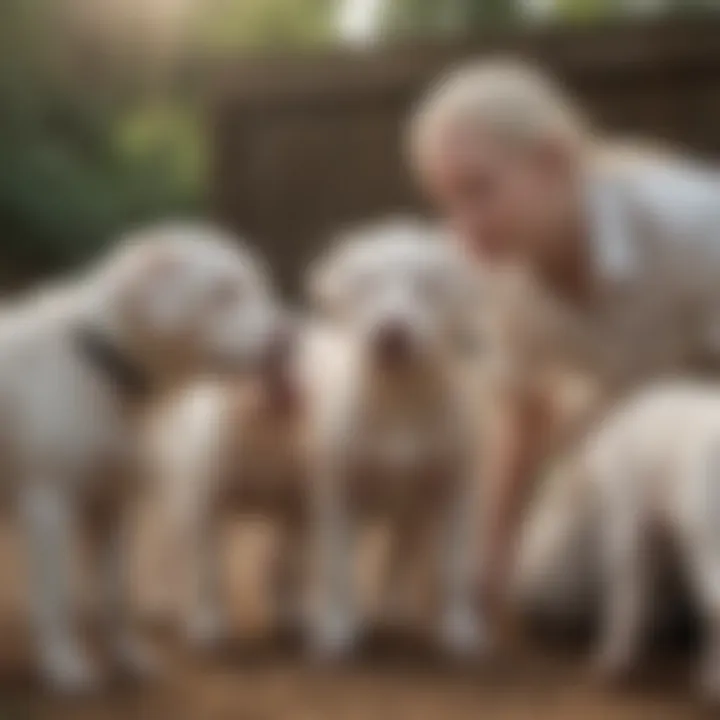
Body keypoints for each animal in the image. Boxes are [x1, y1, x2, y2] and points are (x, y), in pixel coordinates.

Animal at [1, 224, 286, 692]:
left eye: (258, 287)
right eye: (223, 293)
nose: (288, 338)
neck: (100, 368)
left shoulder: (112, 505)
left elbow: (117, 594)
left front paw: (127, 657)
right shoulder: (48, 505)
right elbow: (55, 599)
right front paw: (64, 666)